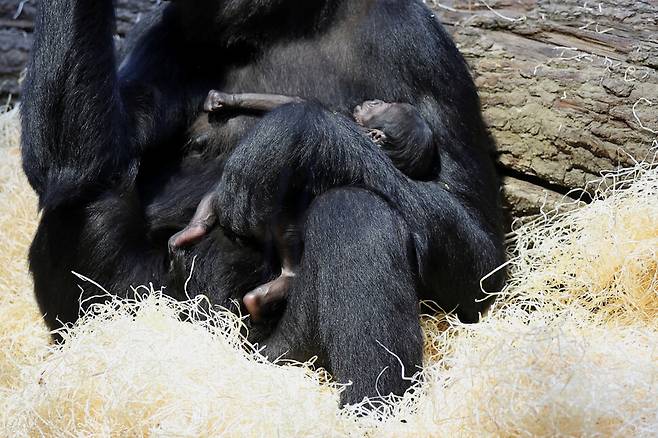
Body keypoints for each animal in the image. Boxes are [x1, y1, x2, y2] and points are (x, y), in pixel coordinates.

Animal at [172, 90, 434, 322]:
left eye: (378, 106)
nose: (372, 101)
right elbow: (297, 102)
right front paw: (221, 99)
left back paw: (272, 288)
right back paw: (192, 231)